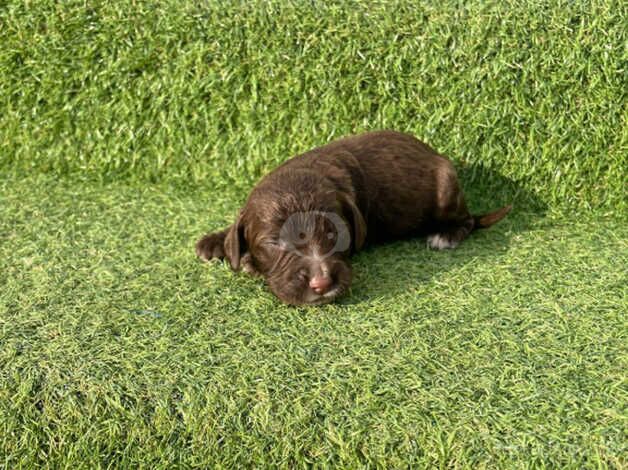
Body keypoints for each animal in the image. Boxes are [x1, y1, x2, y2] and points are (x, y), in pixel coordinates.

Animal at [196, 130, 510, 304]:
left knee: (467, 221)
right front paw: (218, 242)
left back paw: (446, 235)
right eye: (274, 243)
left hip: (446, 188)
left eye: (334, 234)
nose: (321, 284)